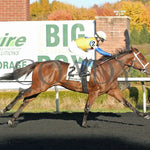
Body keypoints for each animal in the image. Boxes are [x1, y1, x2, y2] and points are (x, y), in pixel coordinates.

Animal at [0, 47, 150, 126]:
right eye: (142, 58)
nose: (148, 69)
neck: (107, 70)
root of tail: (39, 63)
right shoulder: (94, 92)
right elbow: (87, 107)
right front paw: (84, 124)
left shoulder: (112, 90)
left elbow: (127, 103)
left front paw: (144, 115)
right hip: (39, 86)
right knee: (22, 94)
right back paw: (5, 110)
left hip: (40, 87)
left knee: (26, 100)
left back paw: (12, 120)